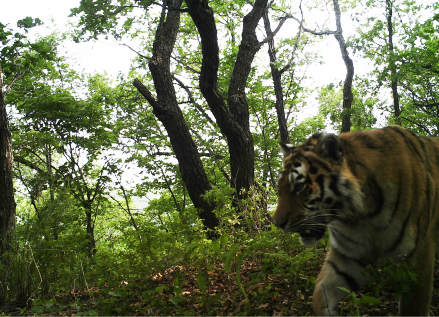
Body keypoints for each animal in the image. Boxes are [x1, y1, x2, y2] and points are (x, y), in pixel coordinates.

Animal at [272, 125, 439, 314]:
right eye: (280, 187)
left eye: (299, 186)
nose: (277, 223)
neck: (361, 216)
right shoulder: (349, 255)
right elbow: (321, 293)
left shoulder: (419, 254)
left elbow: (415, 306)